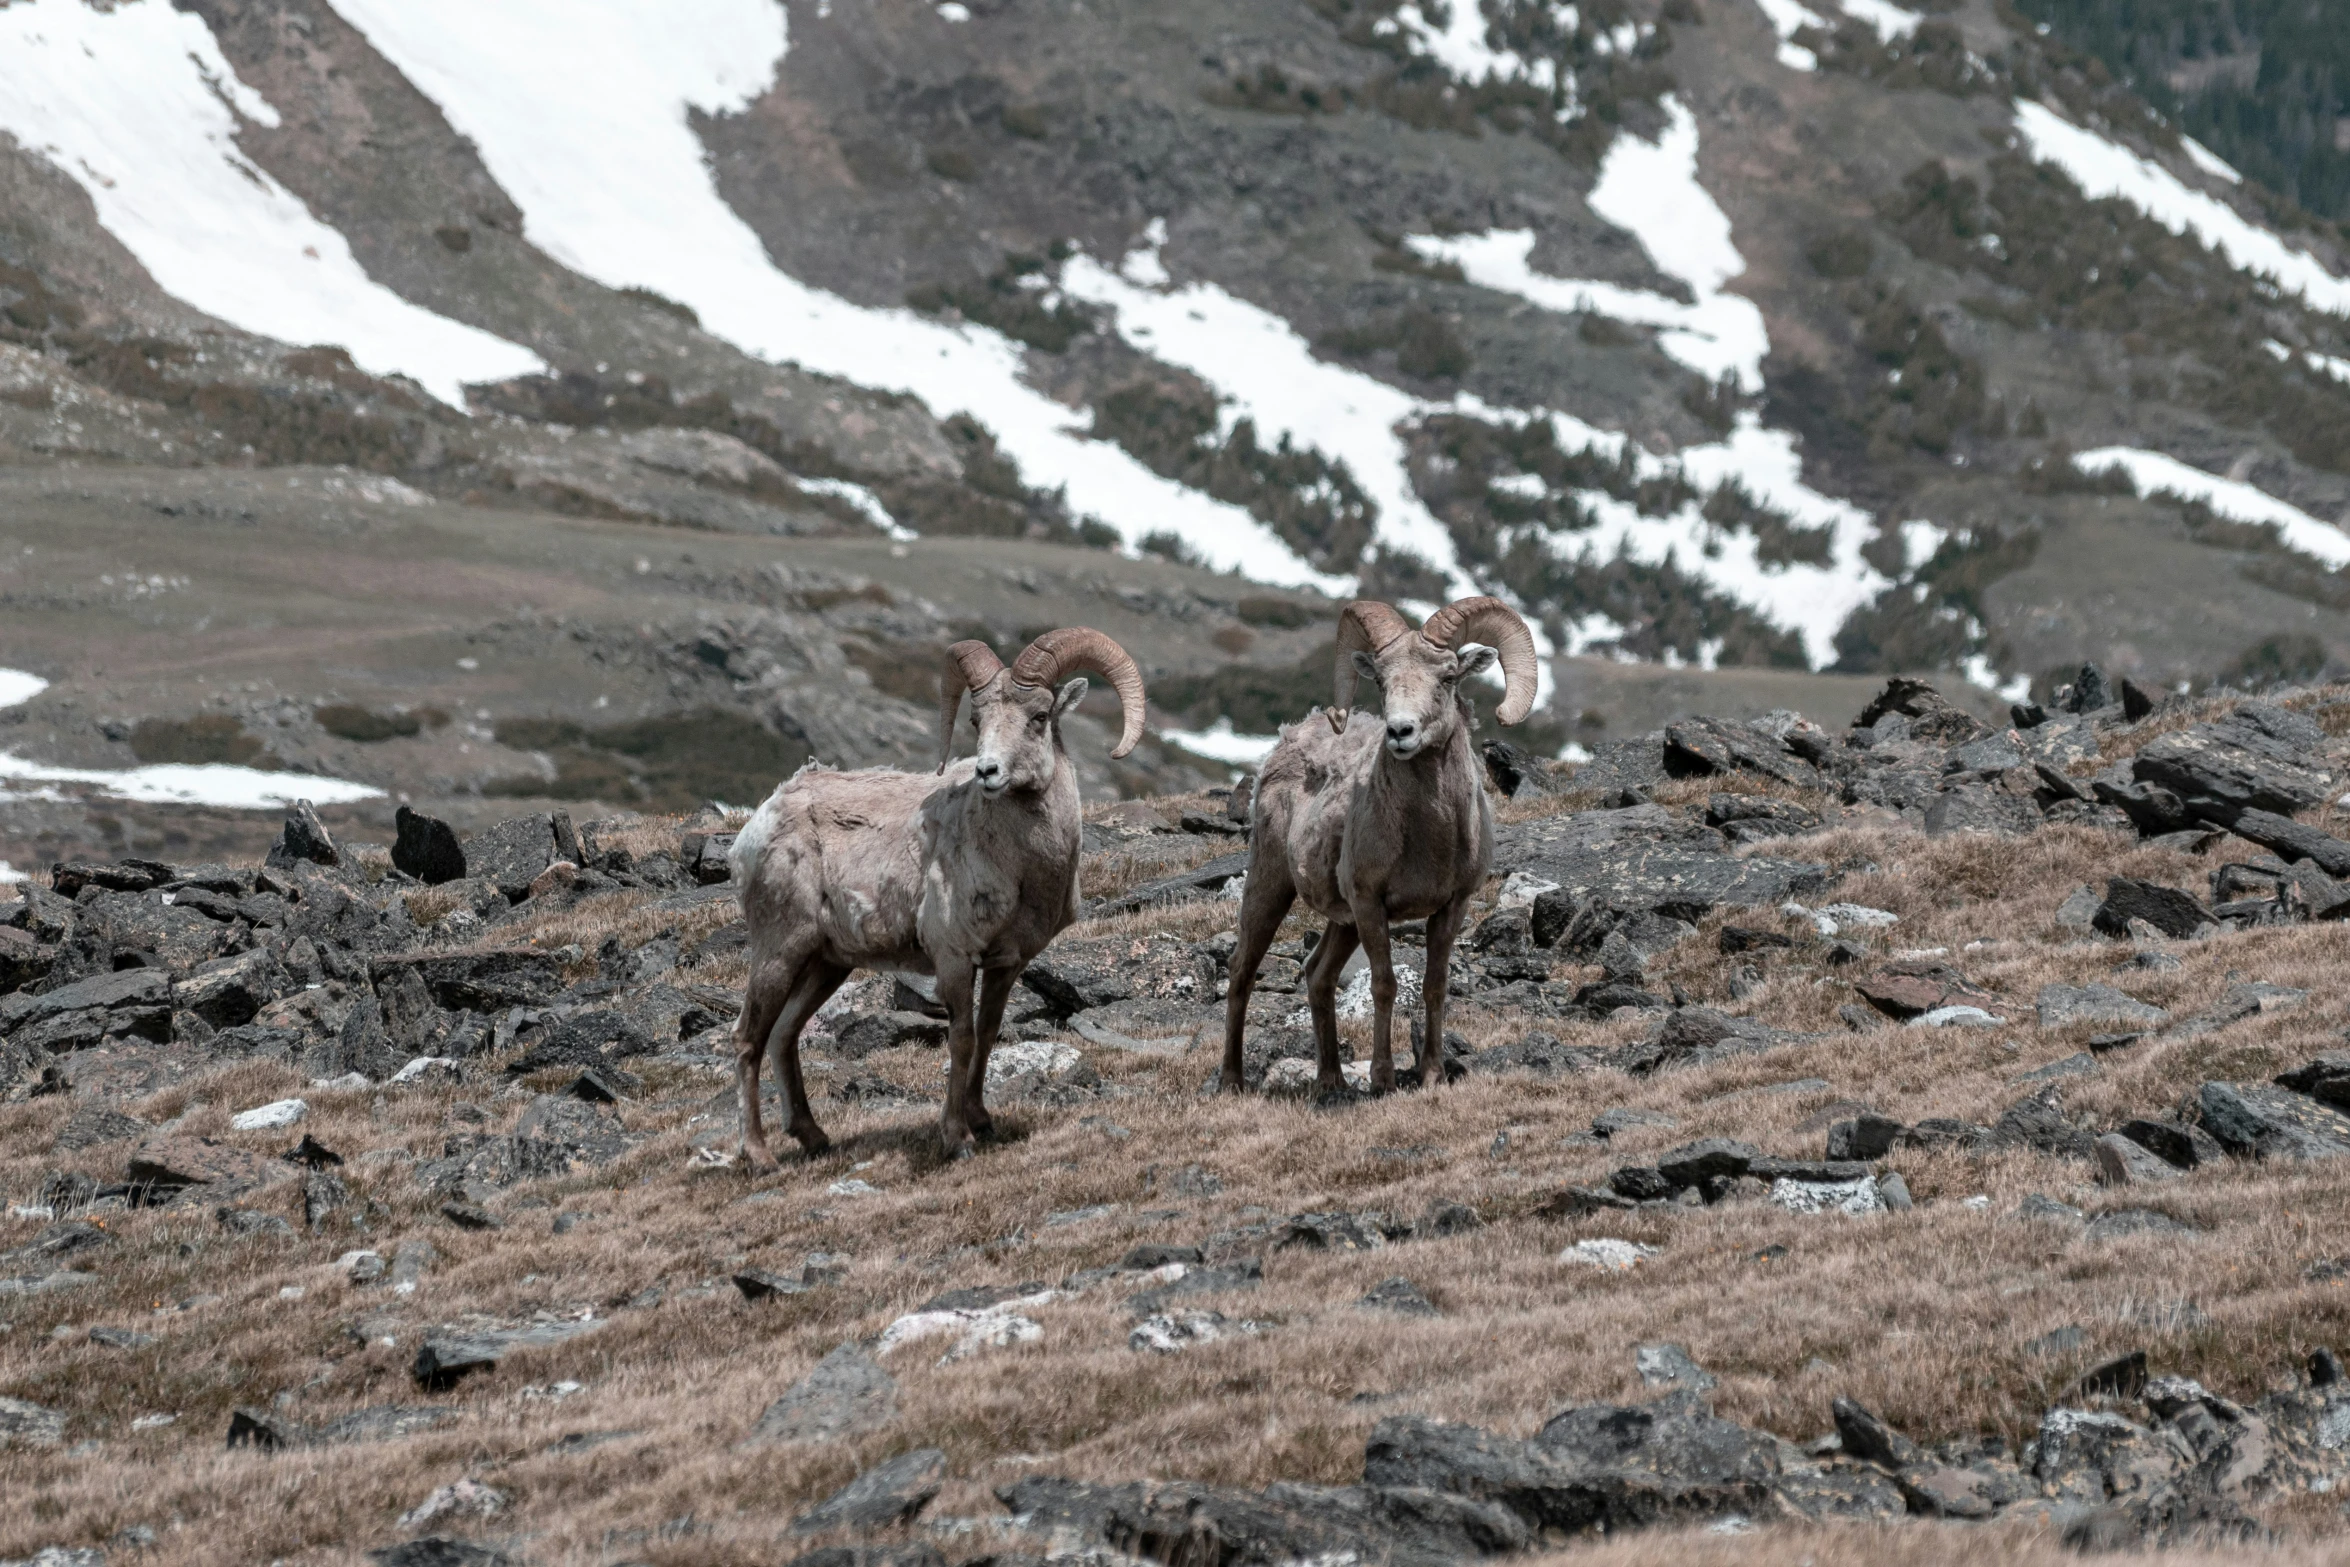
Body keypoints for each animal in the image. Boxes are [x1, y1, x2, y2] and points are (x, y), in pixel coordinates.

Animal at [723, 629, 1146, 1165]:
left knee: (783, 1035)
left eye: (1039, 716)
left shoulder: (1007, 962)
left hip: (825, 964)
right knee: (747, 1038)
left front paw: (982, 1120)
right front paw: (957, 1137)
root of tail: (757, 826)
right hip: (779, 952)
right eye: (976, 720)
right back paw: (759, 1155)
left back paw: (814, 1137)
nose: (988, 771)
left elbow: (988, 1034)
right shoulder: (954, 958)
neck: (1021, 866)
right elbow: (961, 1039)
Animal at [1212, 594, 1541, 1099]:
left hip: (1341, 921)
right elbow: (1384, 985)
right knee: (1241, 971)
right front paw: (1383, 1078)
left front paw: (1432, 1074)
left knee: (1318, 975)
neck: (1429, 838)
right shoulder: (1371, 904)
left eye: (1448, 677)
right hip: (1271, 885)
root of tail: (1289, 736)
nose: (1401, 732)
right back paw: (1233, 1080)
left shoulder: (1452, 906)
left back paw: (1331, 1079)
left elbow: (1434, 985)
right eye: (1382, 681)